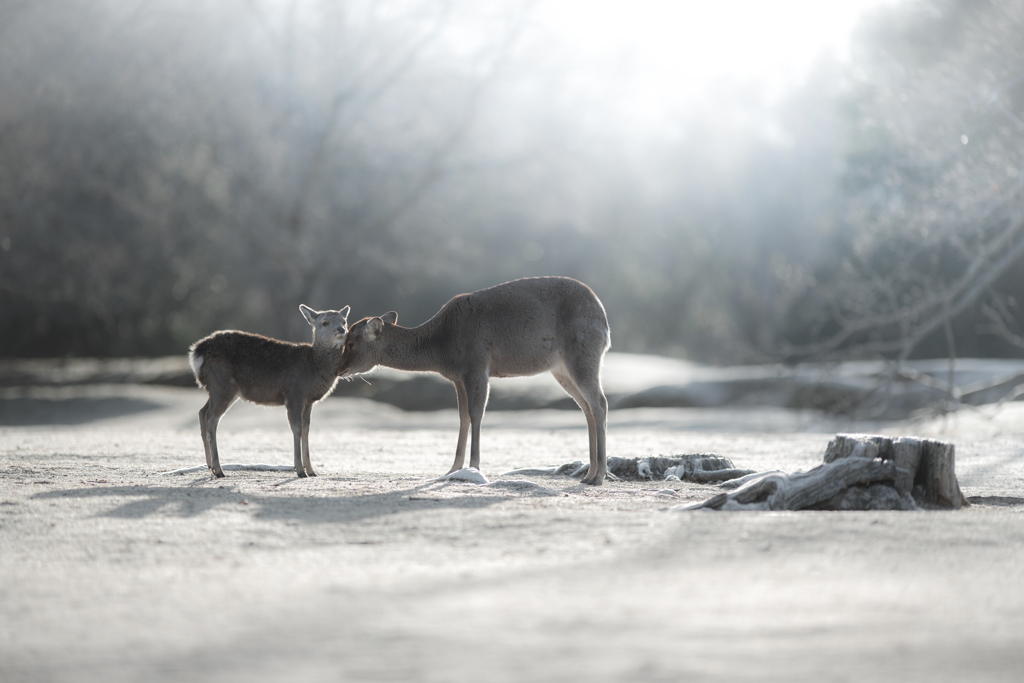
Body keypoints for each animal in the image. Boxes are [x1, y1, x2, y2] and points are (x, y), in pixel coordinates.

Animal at [335, 274, 606, 483]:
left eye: (351, 342)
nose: (339, 369)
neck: (440, 348)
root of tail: (605, 324)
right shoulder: (457, 377)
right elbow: (462, 416)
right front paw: (452, 469)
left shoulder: (476, 366)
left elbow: (477, 414)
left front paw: (474, 468)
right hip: (561, 369)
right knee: (586, 407)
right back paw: (588, 474)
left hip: (582, 355)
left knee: (599, 403)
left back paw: (598, 476)